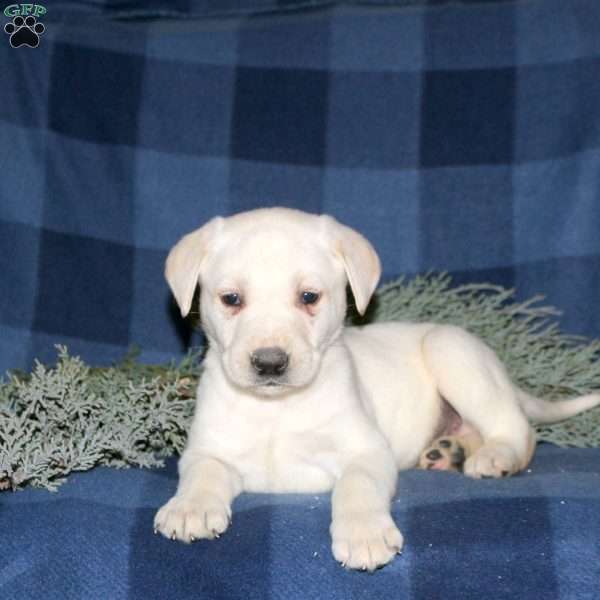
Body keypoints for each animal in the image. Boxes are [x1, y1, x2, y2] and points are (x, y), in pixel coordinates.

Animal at [156, 209, 600, 568]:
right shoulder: (207, 450)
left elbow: (357, 487)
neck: (276, 408)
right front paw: (188, 508)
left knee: (518, 427)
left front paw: (364, 534)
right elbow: (202, 474)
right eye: (231, 299)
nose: (269, 363)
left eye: (309, 296)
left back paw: (496, 457)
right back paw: (447, 451)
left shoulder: (367, 451)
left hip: (452, 352)